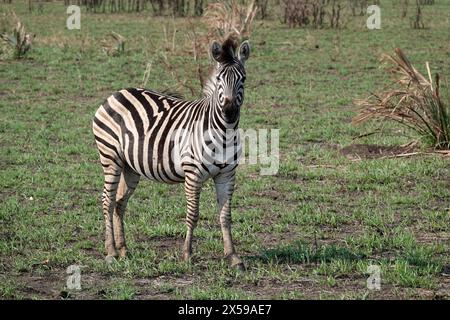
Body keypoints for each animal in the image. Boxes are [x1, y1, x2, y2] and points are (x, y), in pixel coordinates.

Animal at [91, 36, 250, 268]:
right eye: (220, 79)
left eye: (243, 79)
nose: (229, 113)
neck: (223, 133)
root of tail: (118, 93)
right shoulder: (193, 174)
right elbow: (193, 214)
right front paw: (187, 254)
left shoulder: (227, 175)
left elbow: (225, 216)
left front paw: (233, 256)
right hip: (110, 157)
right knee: (107, 201)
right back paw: (111, 251)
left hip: (130, 166)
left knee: (120, 203)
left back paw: (123, 250)